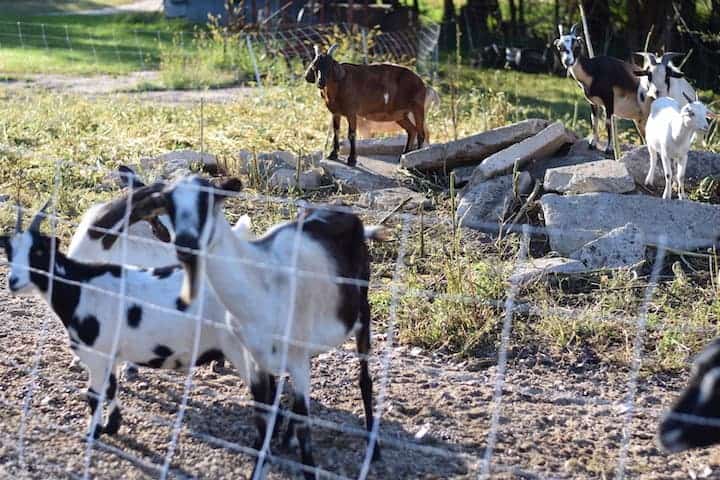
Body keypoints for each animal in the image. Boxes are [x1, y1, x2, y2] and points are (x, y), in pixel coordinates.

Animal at [0, 197, 250, 440]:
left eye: (38, 252)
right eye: (9, 252)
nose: (14, 282)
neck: (81, 286)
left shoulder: (97, 355)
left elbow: (94, 394)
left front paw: (93, 432)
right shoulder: (112, 355)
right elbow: (110, 389)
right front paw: (112, 425)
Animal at [128, 176, 388, 480]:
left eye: (208, 201)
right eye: (168, 204)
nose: (186, 244)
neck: (259, 282)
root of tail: (348, 213)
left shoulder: (295, 356)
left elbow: (304, 426)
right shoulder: (256, 357)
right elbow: (264, 416)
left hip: (362, 310)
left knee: (365, 379)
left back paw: (375, 448)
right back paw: (286, 437)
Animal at [306, 44, 438, 167]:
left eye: (329, 67)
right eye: (314, 67)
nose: (320, 82)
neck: (340, 84)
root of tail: (423, 84)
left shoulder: (351, 112)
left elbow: (351, 134)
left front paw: (352, 160)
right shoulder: (335, 112)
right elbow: (336, 131)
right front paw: (333, 155)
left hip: (417, 108)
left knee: (421, 133)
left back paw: (416, 157)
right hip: (401, 115)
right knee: (412, 130)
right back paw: (403, 156)